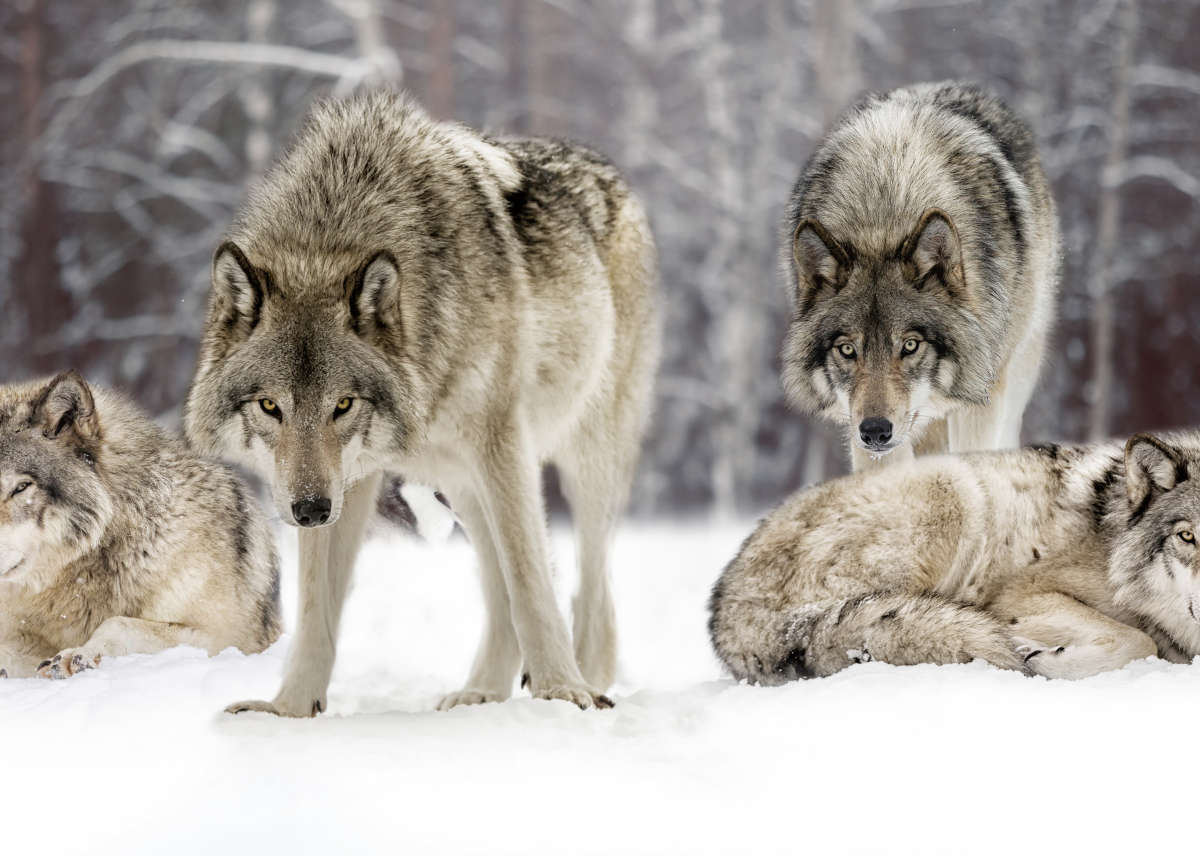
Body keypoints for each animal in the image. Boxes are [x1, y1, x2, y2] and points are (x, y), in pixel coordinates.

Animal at [185, 91, 659, 716]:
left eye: (343, 404)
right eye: (269, 406)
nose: (309, 511)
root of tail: (611, 173)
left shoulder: (502, 444)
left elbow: (531, 583)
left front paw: (562, 690)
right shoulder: (345, 480)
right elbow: (315, 610)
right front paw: (288, 709)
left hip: (582, 463)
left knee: (587, 590)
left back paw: (585, 679)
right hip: (461, 483)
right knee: (499, 586)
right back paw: (483, 693)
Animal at [709, 431, 1200, 684]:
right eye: (1187, 536)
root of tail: (725, 604)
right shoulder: (1023, 591)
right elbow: (1139, 639)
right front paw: (1043, 658)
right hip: (953, 489)